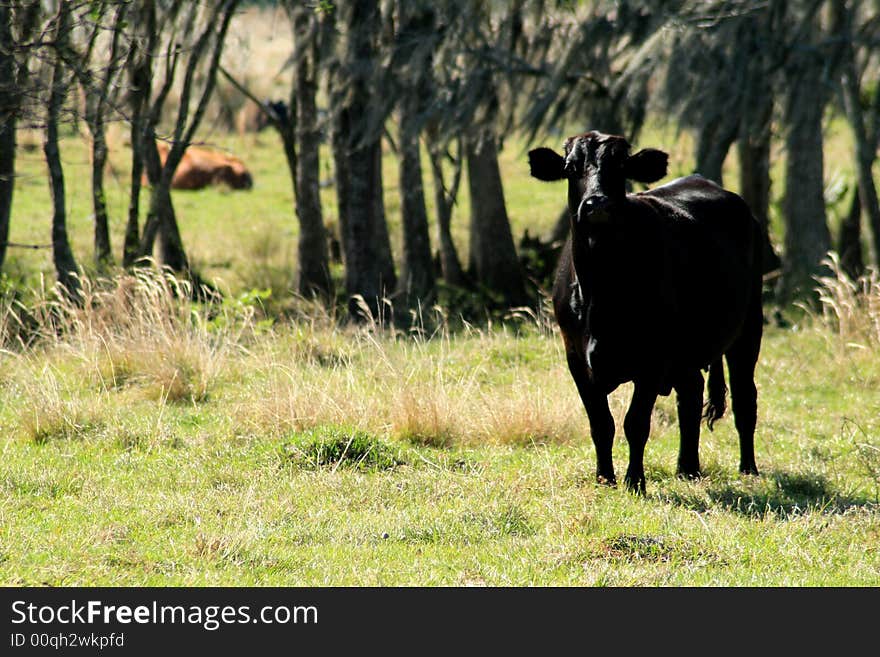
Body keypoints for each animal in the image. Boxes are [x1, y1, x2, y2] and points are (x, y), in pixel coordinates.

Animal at [528, 132, 764, 492]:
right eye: (570, 168)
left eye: (621, 167)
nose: (597, 204)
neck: (600, 293)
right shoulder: (576, 358)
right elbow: (601, 424)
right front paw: (604, 477)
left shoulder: (652, 360)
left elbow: (635, 423)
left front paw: (634, 481)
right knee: (691, 394)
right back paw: (687, 468)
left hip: (748, 327)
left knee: (744, 398)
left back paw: (747, 468)